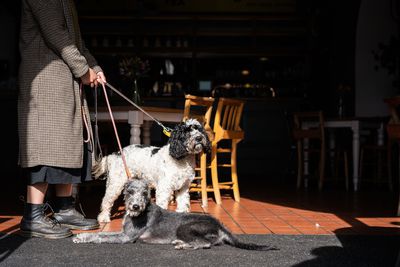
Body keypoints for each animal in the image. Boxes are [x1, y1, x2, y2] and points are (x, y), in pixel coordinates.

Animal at [72, 180, 278, 251]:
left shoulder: (126, 238)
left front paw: (88, 239)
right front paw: (82, 236)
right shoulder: (123, 233)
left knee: (205, 244)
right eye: (129, 192)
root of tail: (220, 224)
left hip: (185, 227)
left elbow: (102, 237)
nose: (136, 206)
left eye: (145, 192)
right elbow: (102, 233)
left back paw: (182, 245)